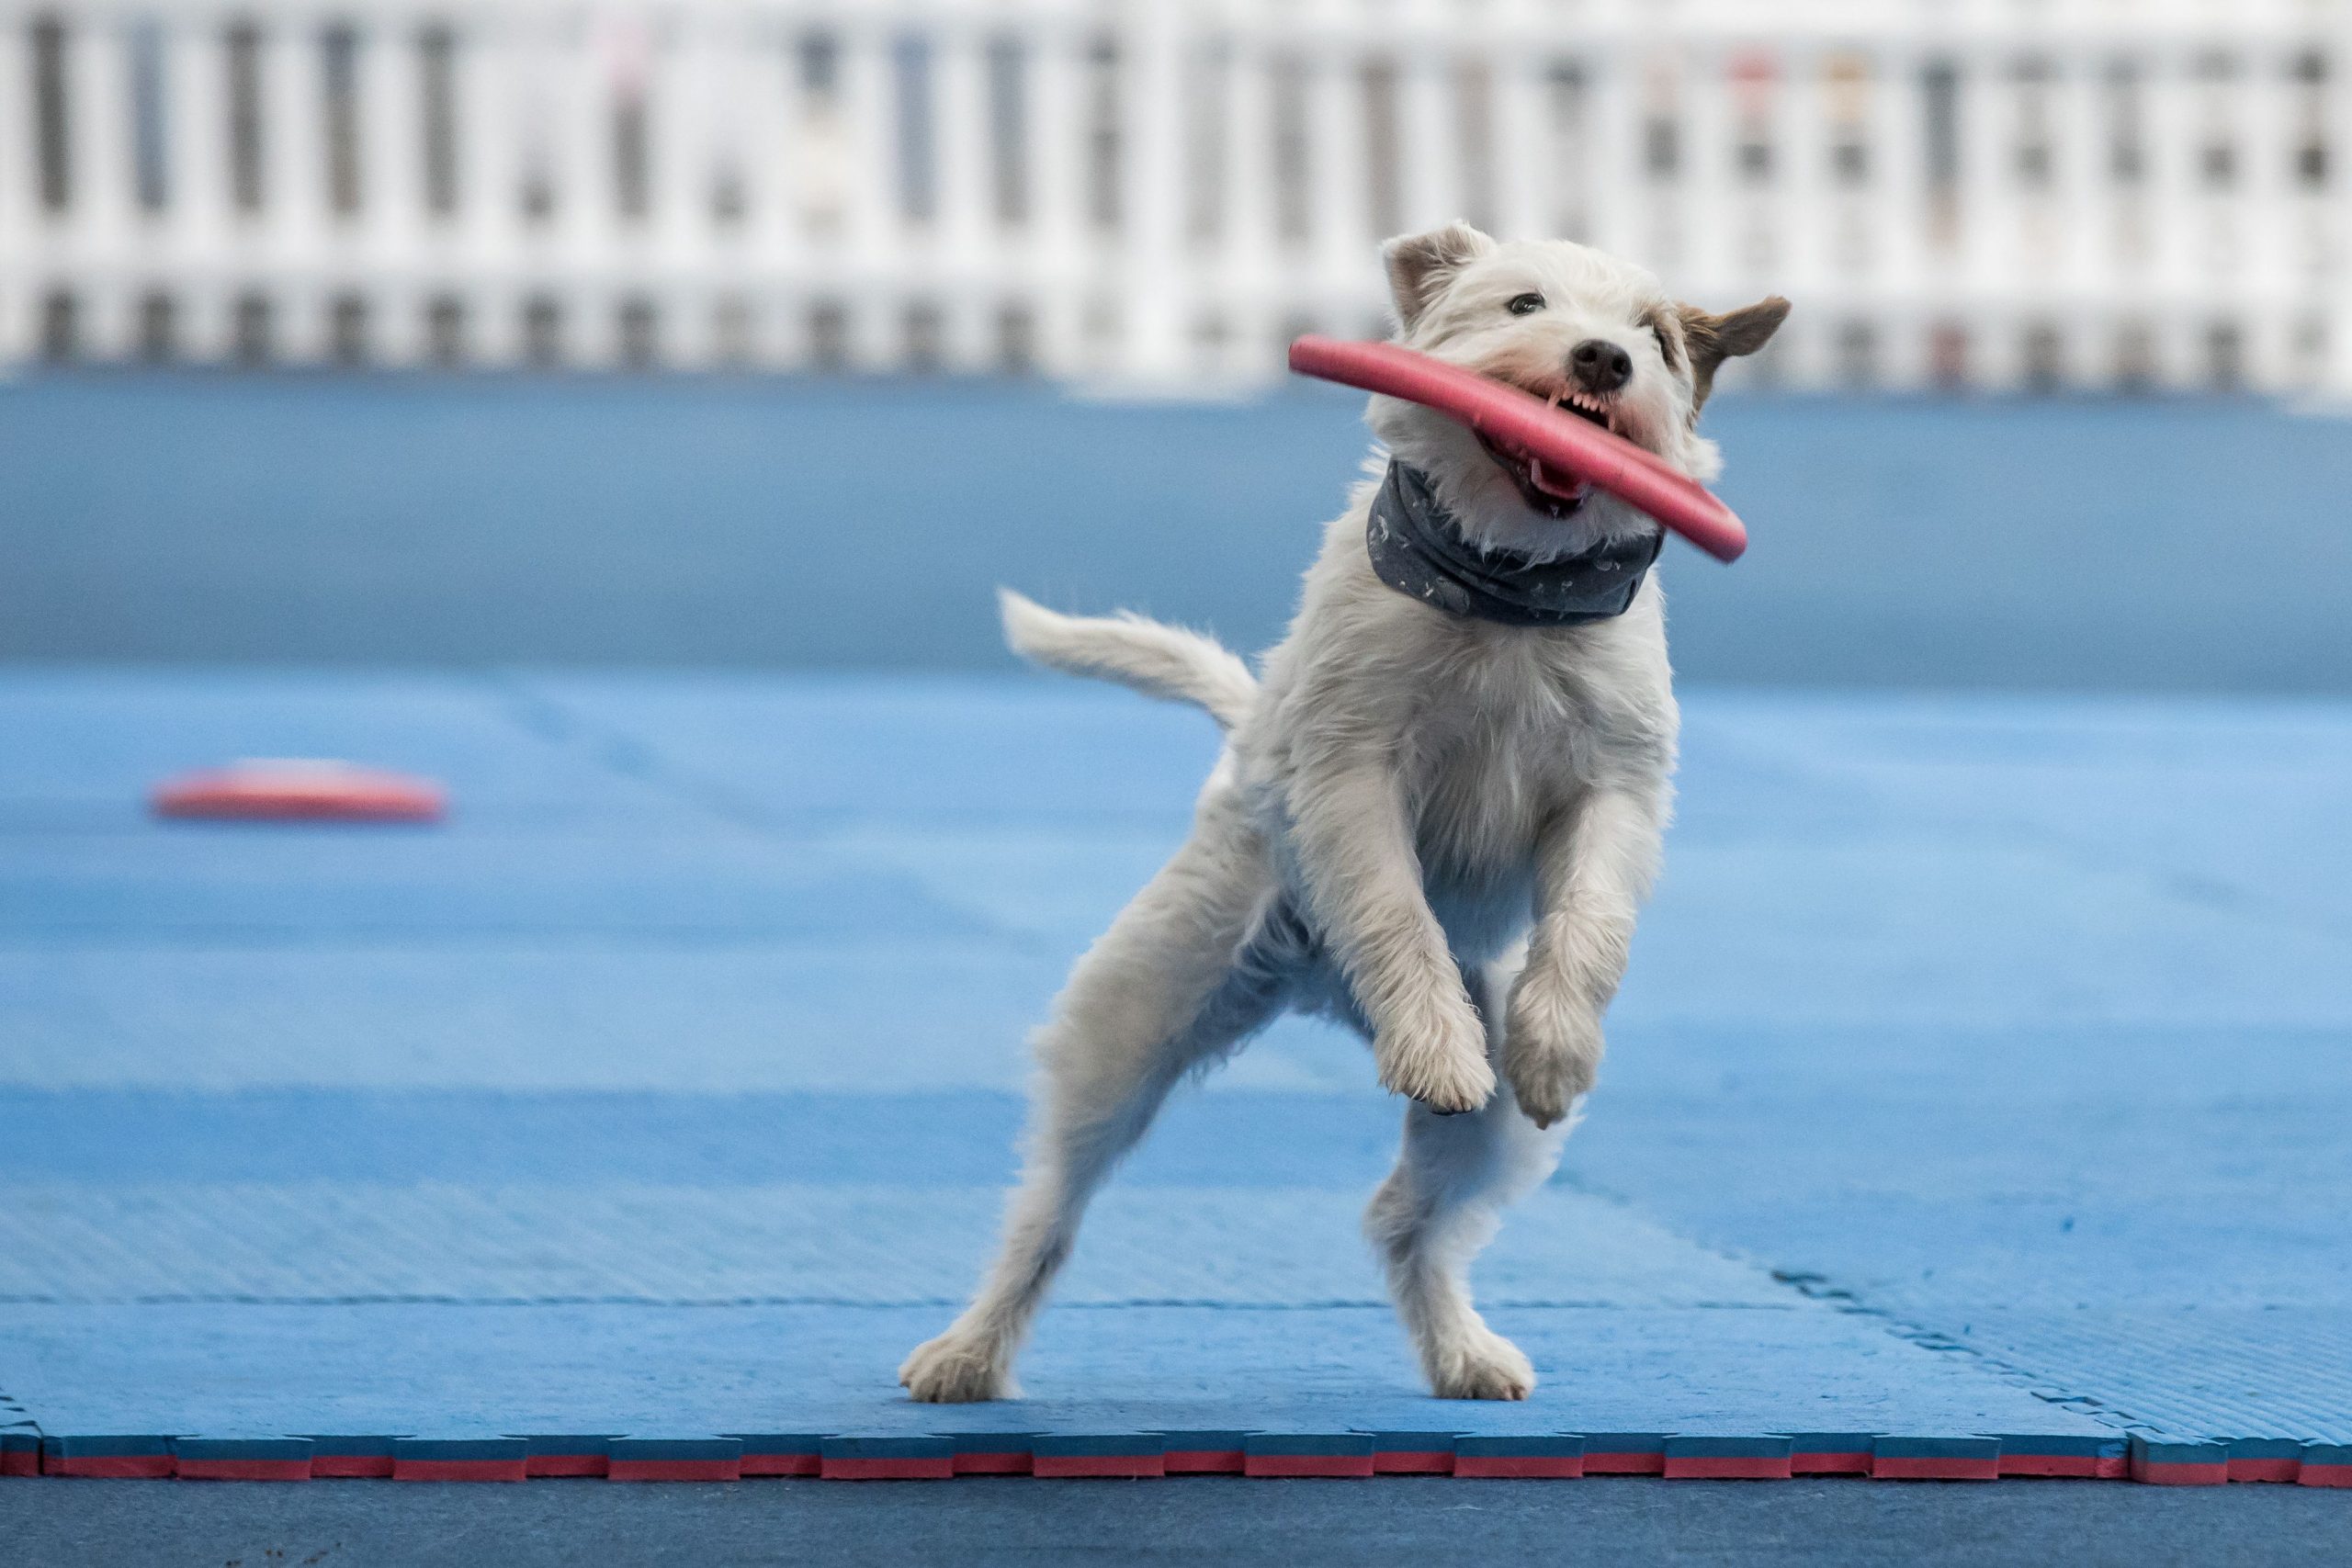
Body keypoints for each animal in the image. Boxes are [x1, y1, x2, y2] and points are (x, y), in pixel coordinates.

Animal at [898, 223, 1778, 1410]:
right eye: (1523, 304)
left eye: (1653, 337)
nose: (1601, 358)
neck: (1508, 594)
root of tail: (1318, 987)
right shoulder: (1354, 774)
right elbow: (1393, 912)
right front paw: (1435, 1047)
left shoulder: (1613, 790)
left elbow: (1590, 924)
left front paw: (1554, 1047)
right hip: (1133, 1020)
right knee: (1050, 1208)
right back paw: (968, 1350)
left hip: (1492, 1131)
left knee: (1404, 1222)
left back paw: (1464, 1349)